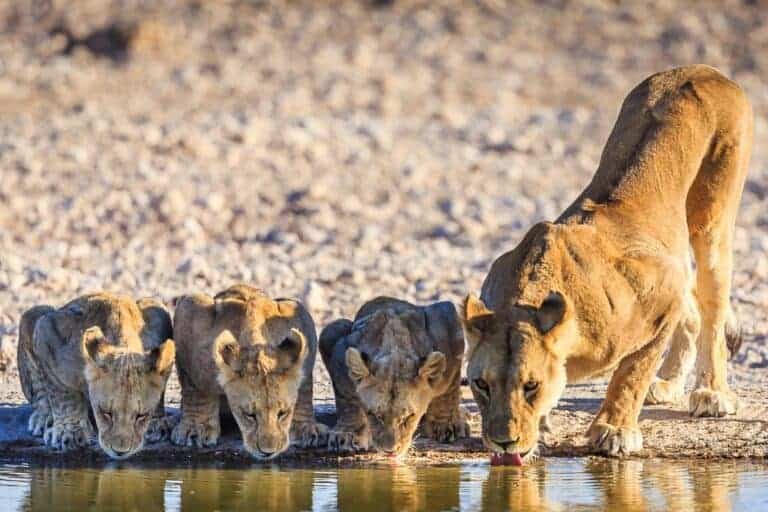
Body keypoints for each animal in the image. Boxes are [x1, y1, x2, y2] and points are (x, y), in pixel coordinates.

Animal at [17, 293, 175, 459]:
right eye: (106, 413)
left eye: (141, 415)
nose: (120, 452)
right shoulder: (48, 332)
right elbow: (63, 396)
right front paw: (69, 432)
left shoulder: (161, 321)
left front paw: (156, 422)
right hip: (34, 314)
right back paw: (44, 418)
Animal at [170, 284, 327, 459]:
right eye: (249, 415)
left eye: (283, 413)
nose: (268, 452)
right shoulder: (190, 310)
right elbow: (195, 386)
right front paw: (196, 428)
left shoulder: (299, 314)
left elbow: (305, 385)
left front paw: (305, 428)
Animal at [319, 297, 469, 458]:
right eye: (376, 416)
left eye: (408, 417)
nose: (390, 451)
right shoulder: (340, 349)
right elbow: (347, 398)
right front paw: (348, 433)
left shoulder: (447, 328)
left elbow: (448, 389)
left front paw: (445, 424)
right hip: (332, 329)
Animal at [461, 65, 752, 459]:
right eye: (481, 384)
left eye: (531, 385)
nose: (504, 442)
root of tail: (704, 70)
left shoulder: (662, 290)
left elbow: (632, 371)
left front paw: (615, 430)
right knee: (693, 311)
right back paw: (668, 386)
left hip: (713, 219)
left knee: (712, 308)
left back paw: (711, 394)